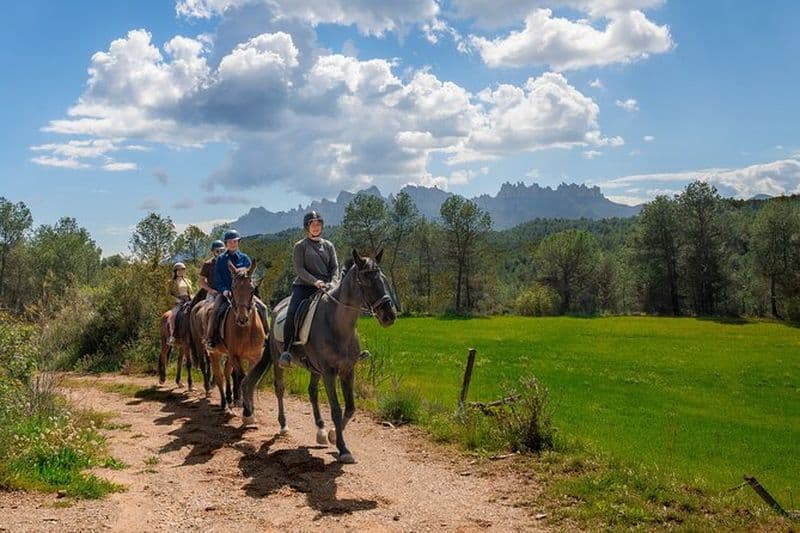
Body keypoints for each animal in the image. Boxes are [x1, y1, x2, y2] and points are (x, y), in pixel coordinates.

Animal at [206, 260, 267, 412]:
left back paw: (229, 398)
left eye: (252, 289)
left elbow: (250, 378)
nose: (242, 319)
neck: (246, 331)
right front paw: (246, 408)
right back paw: (224, 403)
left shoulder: (254, 356)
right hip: (215, 354)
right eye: (233, 288)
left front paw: (248, 405)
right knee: (219, 376)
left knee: (227, 372)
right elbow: (242, 377)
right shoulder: (235, 355)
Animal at [241, 248, 396, 464]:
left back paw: (321, 430)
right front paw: (343, 449)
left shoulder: (347, 371)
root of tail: (277, 307)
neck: (338, 326)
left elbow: (350, 407)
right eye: (365, 281)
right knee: (280, 389)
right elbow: (336, 409)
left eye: (383, 279)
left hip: (314, 369)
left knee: (312, 392)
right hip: (279, 361)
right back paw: (283, 426)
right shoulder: (329, 372)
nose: (389, 315)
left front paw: (331, 435)